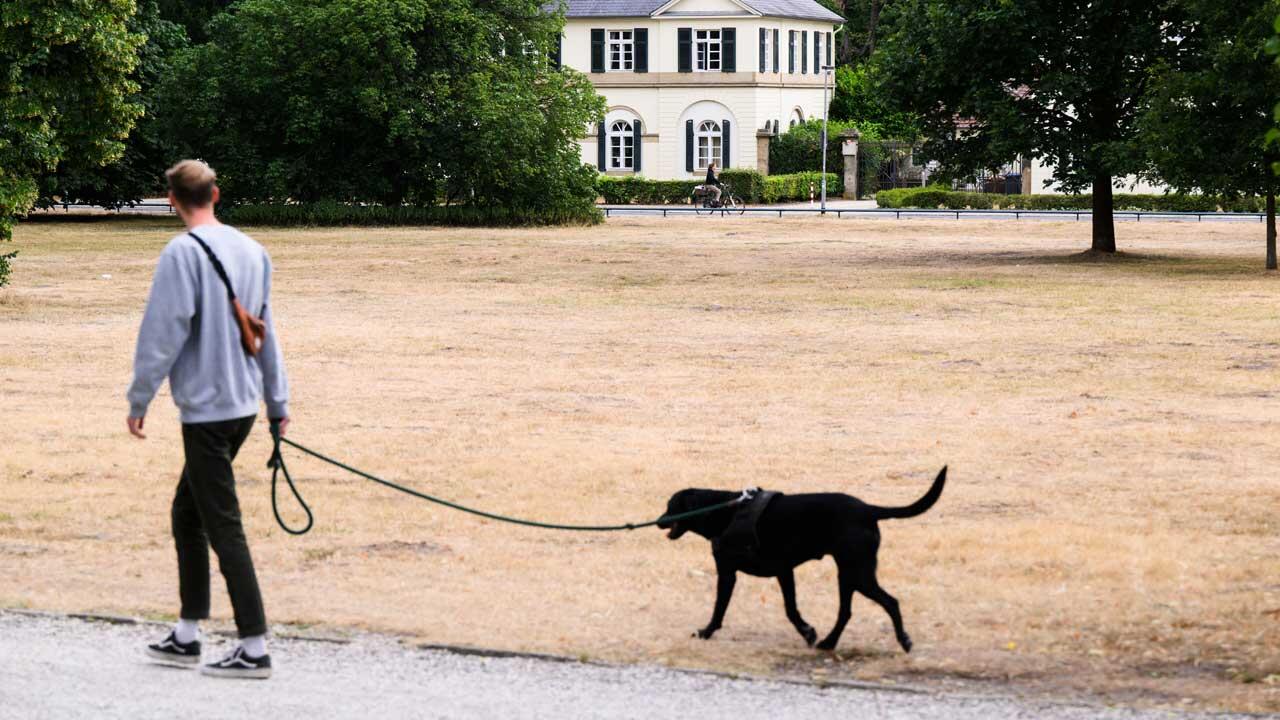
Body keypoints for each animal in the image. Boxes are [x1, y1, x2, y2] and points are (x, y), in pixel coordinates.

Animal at [665, 466, 947, 650]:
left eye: (669, 506)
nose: (659, 520)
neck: (723, 511)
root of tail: (868, 509)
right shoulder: (783, 571)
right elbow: (791, 608)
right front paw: (808, 632)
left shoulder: (728, 573)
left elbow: (719, 609)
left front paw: (706, 632)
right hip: (848, 574)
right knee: (846, 612)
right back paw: (828, 643)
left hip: (857, 573)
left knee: (891, 602)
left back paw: (903, 640)